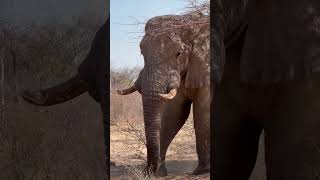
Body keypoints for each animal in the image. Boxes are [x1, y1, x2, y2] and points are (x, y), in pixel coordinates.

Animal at [117, 12, 210, 176]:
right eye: (141, 51)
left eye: (179, 54)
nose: (149, 170)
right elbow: (173, 115)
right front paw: (157, 173)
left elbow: (203, 113)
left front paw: (201, 172)